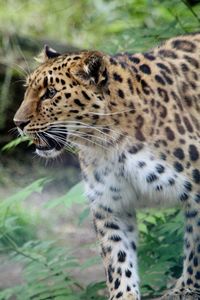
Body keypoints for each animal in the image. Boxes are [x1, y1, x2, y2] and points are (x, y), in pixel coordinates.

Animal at [14, 33, 200, 300]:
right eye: (28, 89)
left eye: (50, 93)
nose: (17, 122)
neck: (108, 143)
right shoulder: (109, 204)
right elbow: (117, 256)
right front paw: (123, 294)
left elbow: (195, 248)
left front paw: (185, 288)